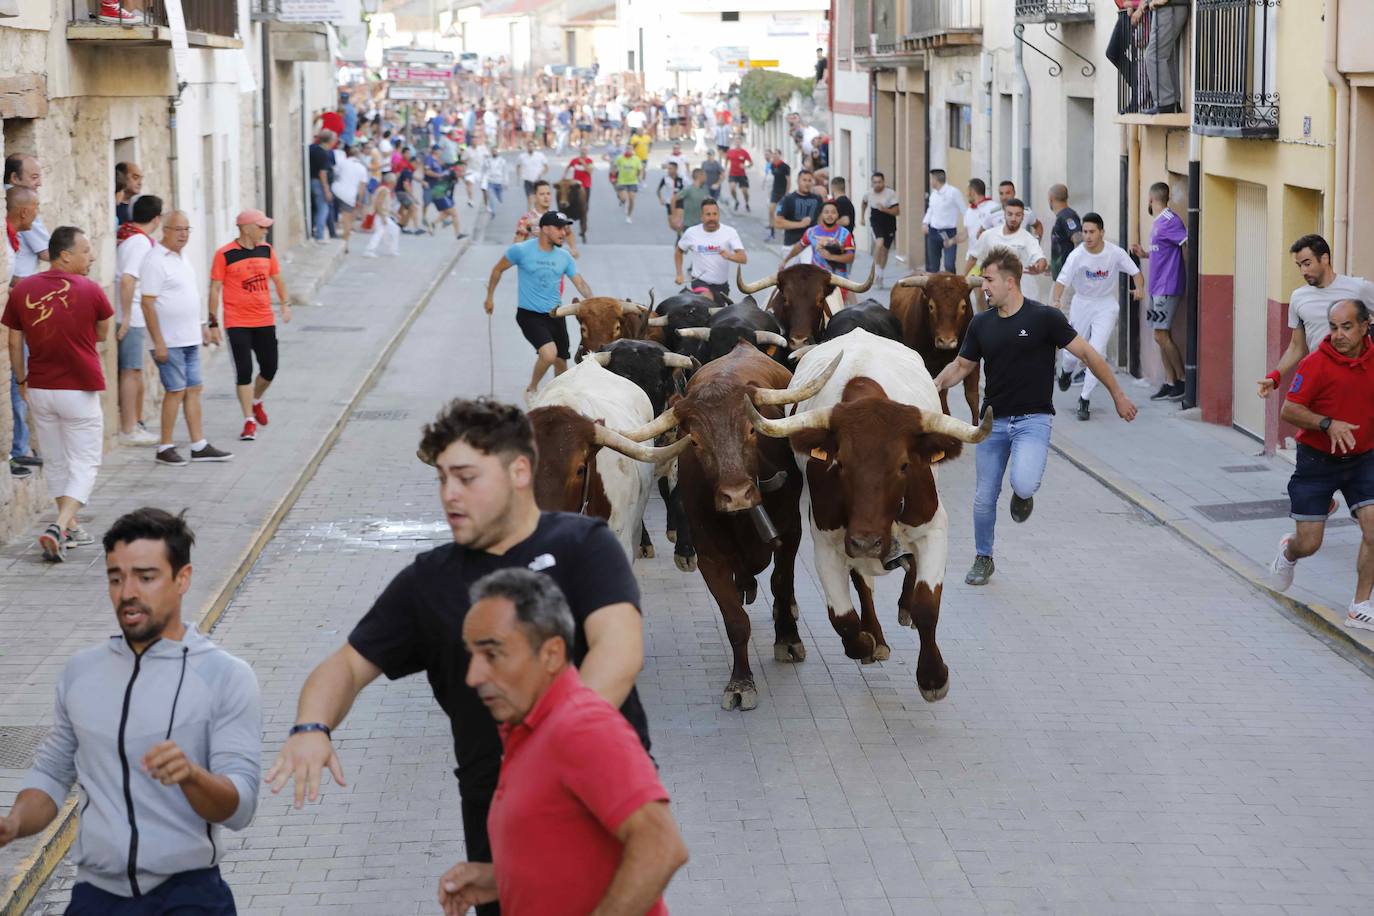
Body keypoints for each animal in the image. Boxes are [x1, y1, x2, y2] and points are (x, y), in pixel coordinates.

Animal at [621, 343, 835, 708]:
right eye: (694, 440)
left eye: (751, 430)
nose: (736, 495)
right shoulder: (710, 556)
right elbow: (735, 621)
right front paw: (741, 683)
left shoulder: (790, 533)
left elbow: (782, 583)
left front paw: (787, 639)